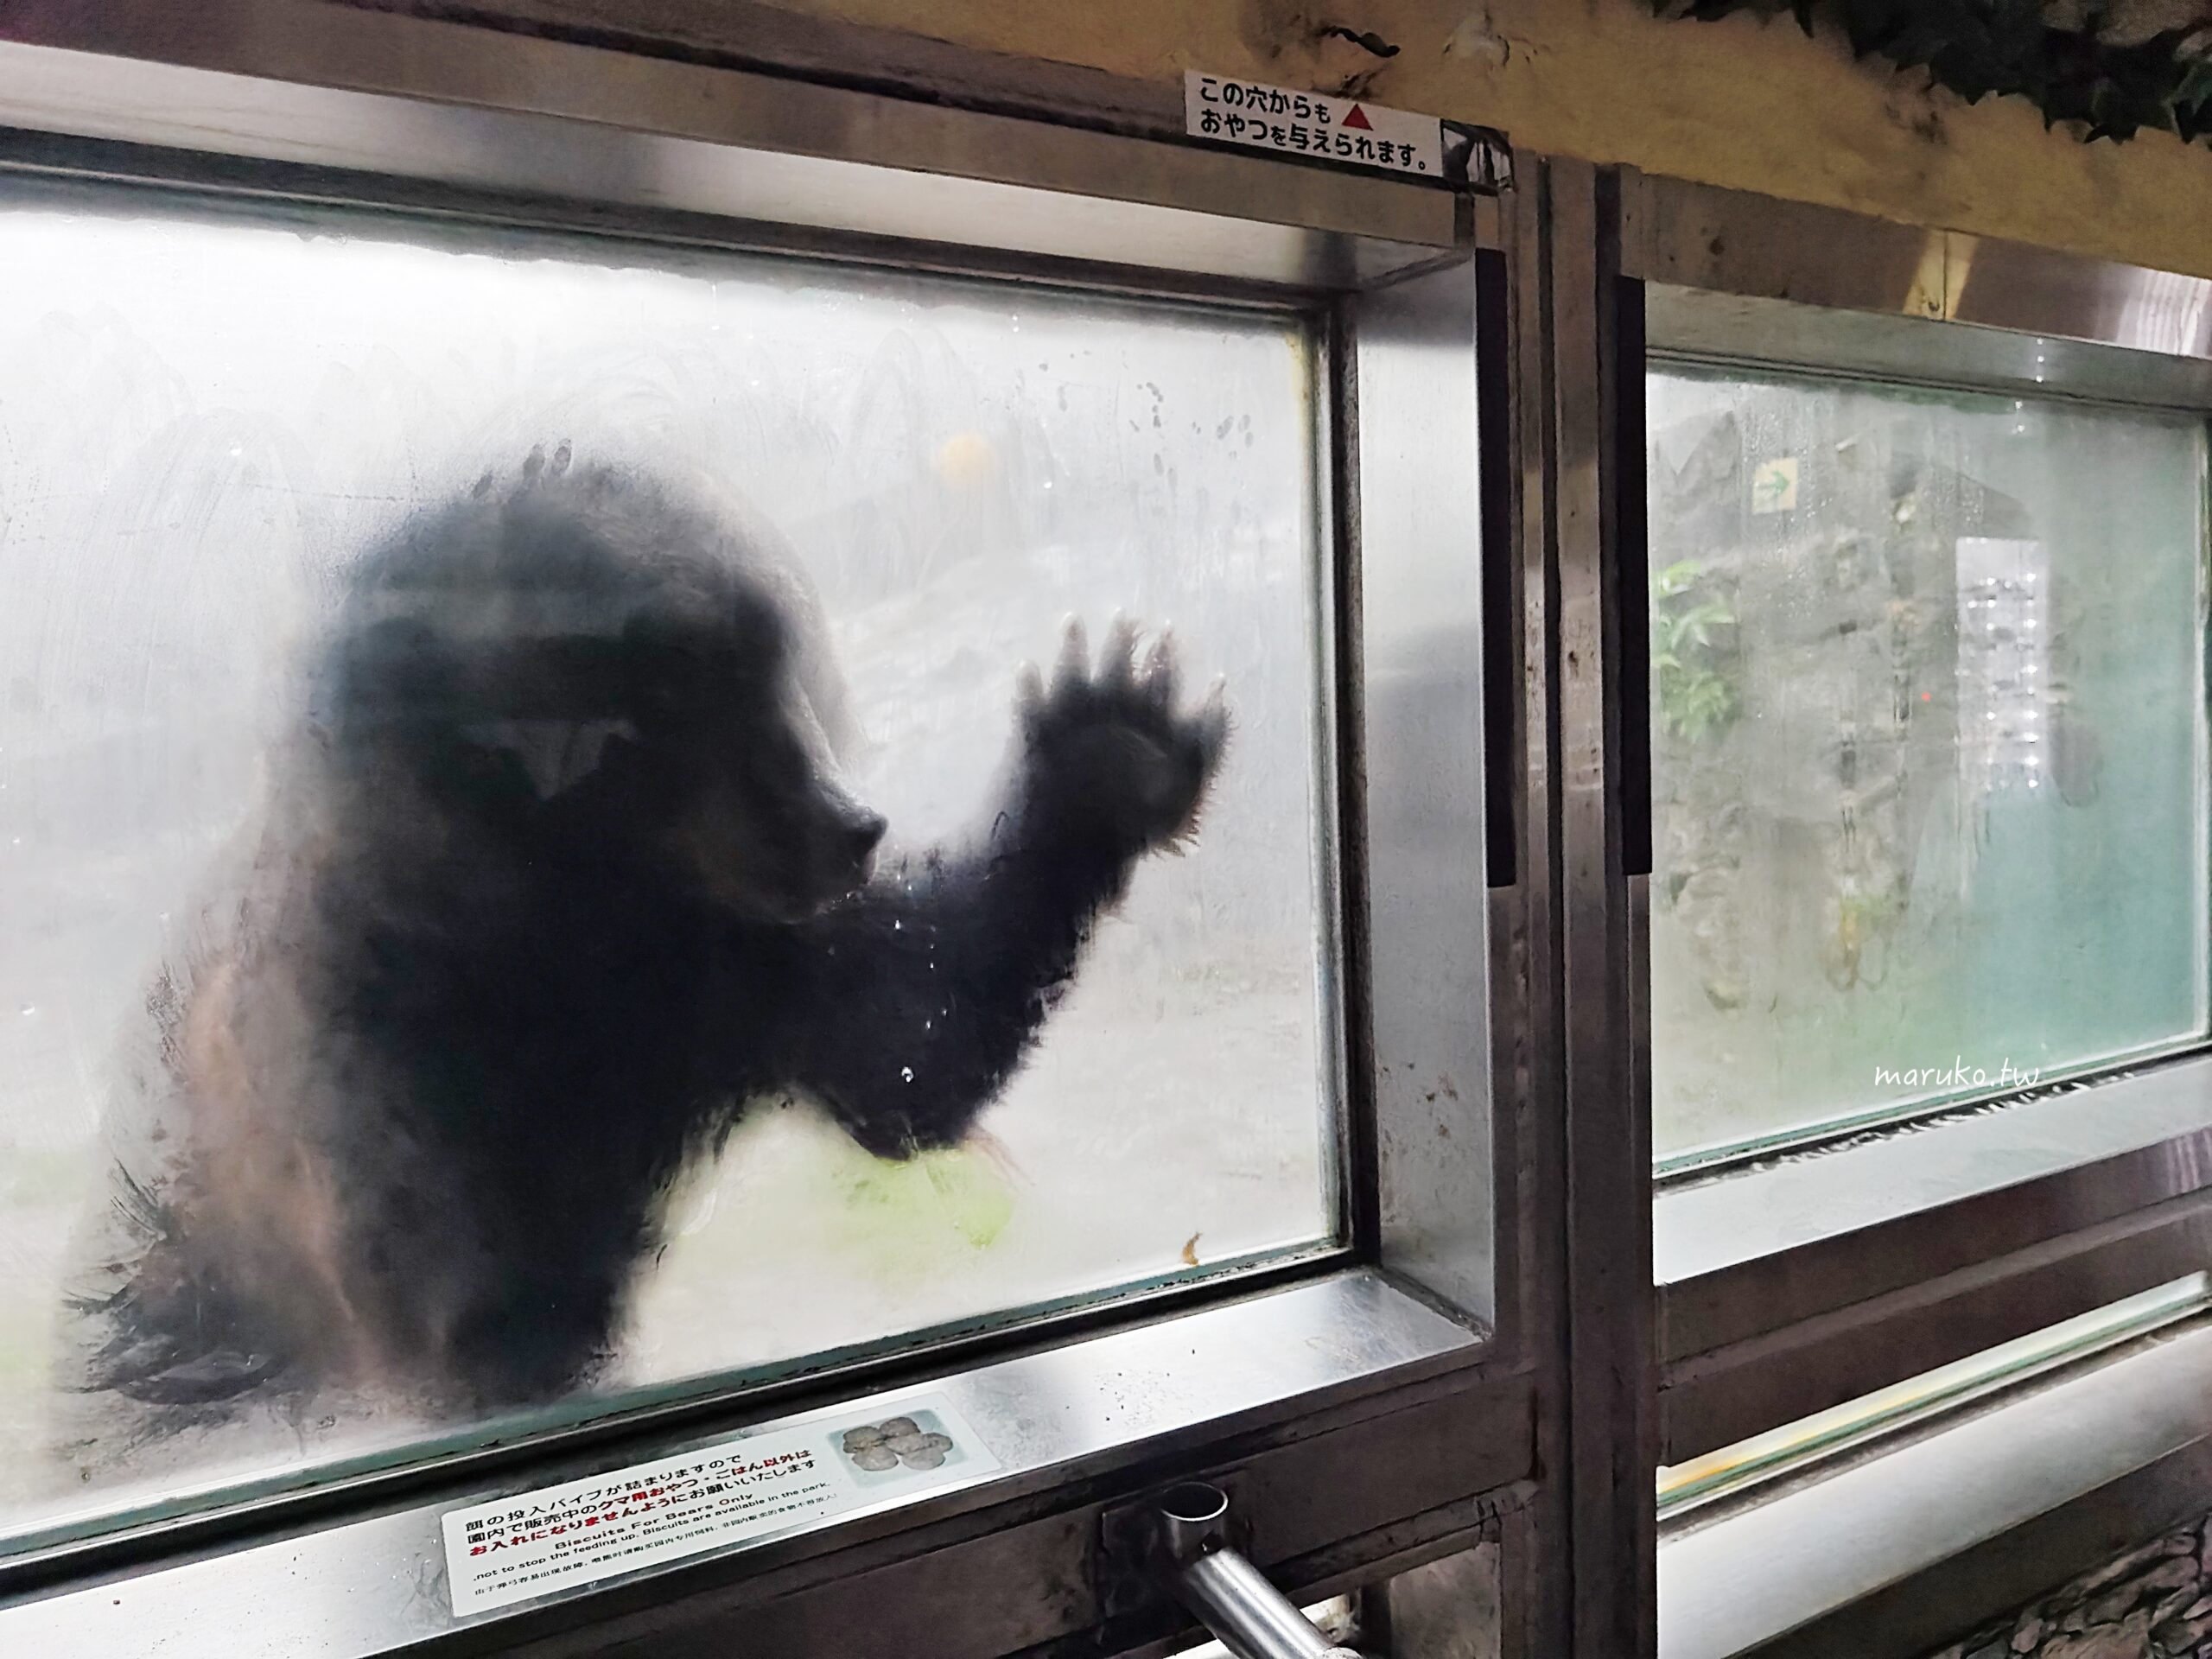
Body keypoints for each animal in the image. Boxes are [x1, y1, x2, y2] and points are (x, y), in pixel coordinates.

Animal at [71, 447, 1227, 1421]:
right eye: (688, 686)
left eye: (779, 665)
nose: (851, 826)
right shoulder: (369, 1061)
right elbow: (471, 1307)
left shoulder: (724, 970)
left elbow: (904, 1049)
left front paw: (1112, 741)